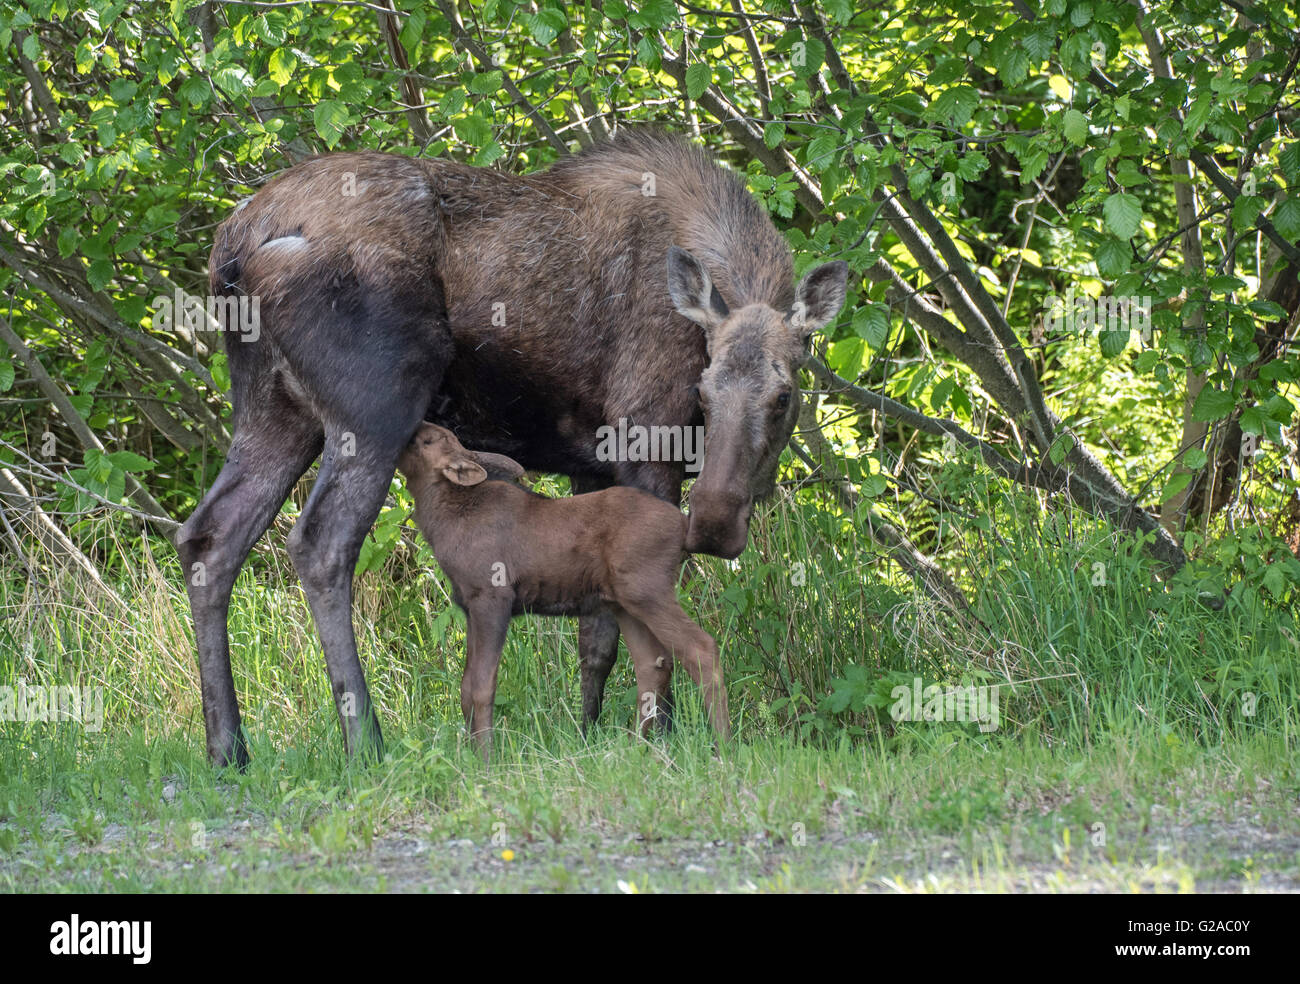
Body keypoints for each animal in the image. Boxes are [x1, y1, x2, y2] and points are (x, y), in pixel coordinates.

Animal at [400, 421, 728, 759]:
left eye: (428, 440)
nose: (414, 424)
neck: (442, 521)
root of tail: (683, 527)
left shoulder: (492, 598)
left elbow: (481, 687)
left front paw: (488, 759)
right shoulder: (469, 606)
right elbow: (465, 687)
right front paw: (468, 754)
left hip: (648, 591)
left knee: (701, 650)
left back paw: (723, 747)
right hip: (625, 603)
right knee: (652, 665)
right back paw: (638, 748)